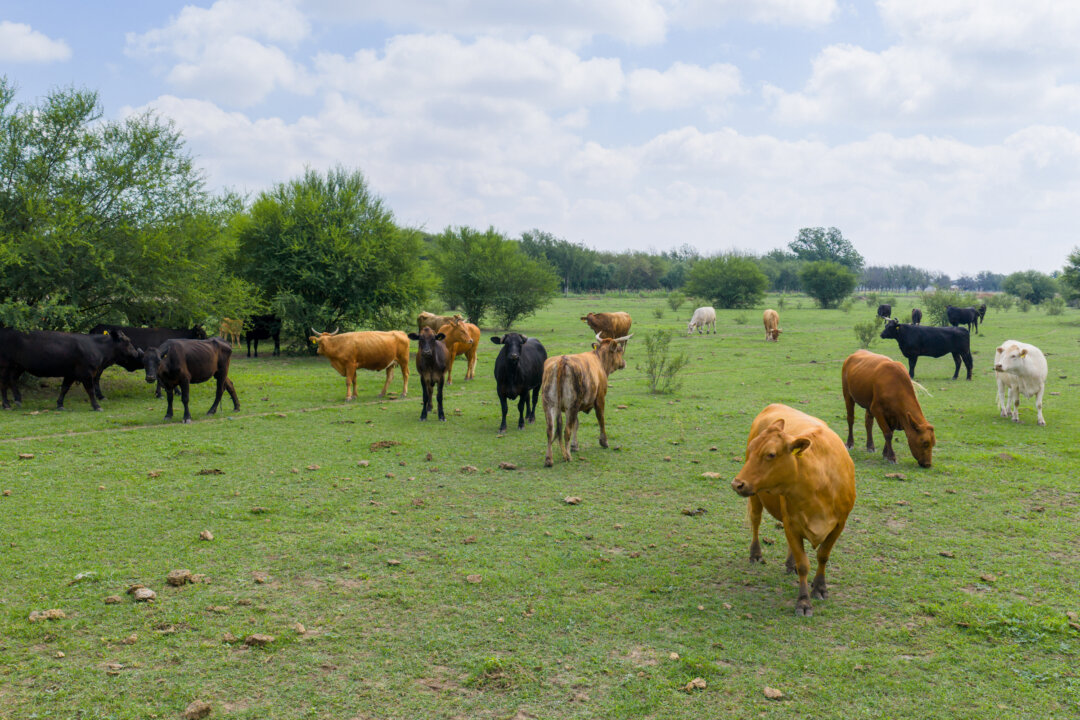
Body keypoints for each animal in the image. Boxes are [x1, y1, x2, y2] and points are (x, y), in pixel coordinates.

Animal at [0, 329, 142, 411]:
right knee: (4, 383)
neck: (98, 348)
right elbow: (90, 391)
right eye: (128, 341)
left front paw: (60, 404)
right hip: (5, 365)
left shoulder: (71, 374)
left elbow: (64, 388)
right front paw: (96, 406)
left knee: (12, 380)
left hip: (18, 366)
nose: (136, 353)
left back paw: (18, 400)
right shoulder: (87, 373)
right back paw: (6, 405)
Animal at [542, 333, 632, 466]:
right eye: (620, 350)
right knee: (566, 431)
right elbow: (601, 419)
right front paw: (604, 442)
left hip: (549, 405)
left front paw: (574, 445)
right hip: (571, 406)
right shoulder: (600, 398)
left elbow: (576, 424)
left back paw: (549, 459)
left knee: (550, 430)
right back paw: (567, 456)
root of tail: (562, 360)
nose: (624, 363)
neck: (599, 359)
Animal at [731, 403, 856, 617]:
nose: (737, 483)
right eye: (751, 448)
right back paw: (756, 554)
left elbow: (823, 555)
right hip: (755, 497)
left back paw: (790, 564)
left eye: (771, 454)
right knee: (756, 521)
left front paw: (820, 587)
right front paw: (804, 602)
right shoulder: (791, 522)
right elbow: (804, 564)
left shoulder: (839, 524)